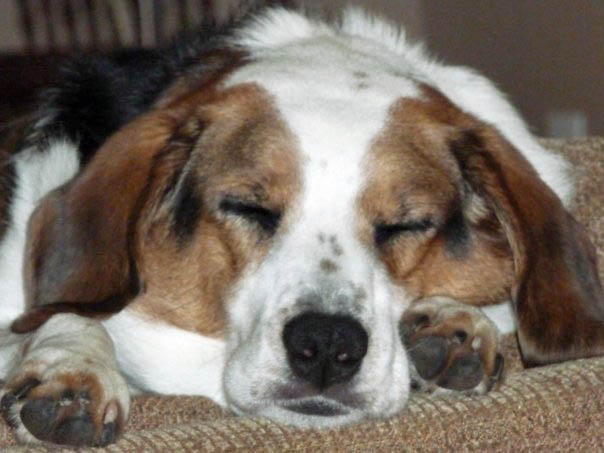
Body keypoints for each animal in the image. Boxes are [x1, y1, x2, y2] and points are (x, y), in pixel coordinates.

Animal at [0, 6, 600, 444]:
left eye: (405, 225)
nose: (328, 345)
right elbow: (71, 313)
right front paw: (74, 365)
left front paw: (457, 324)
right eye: (248, 208)